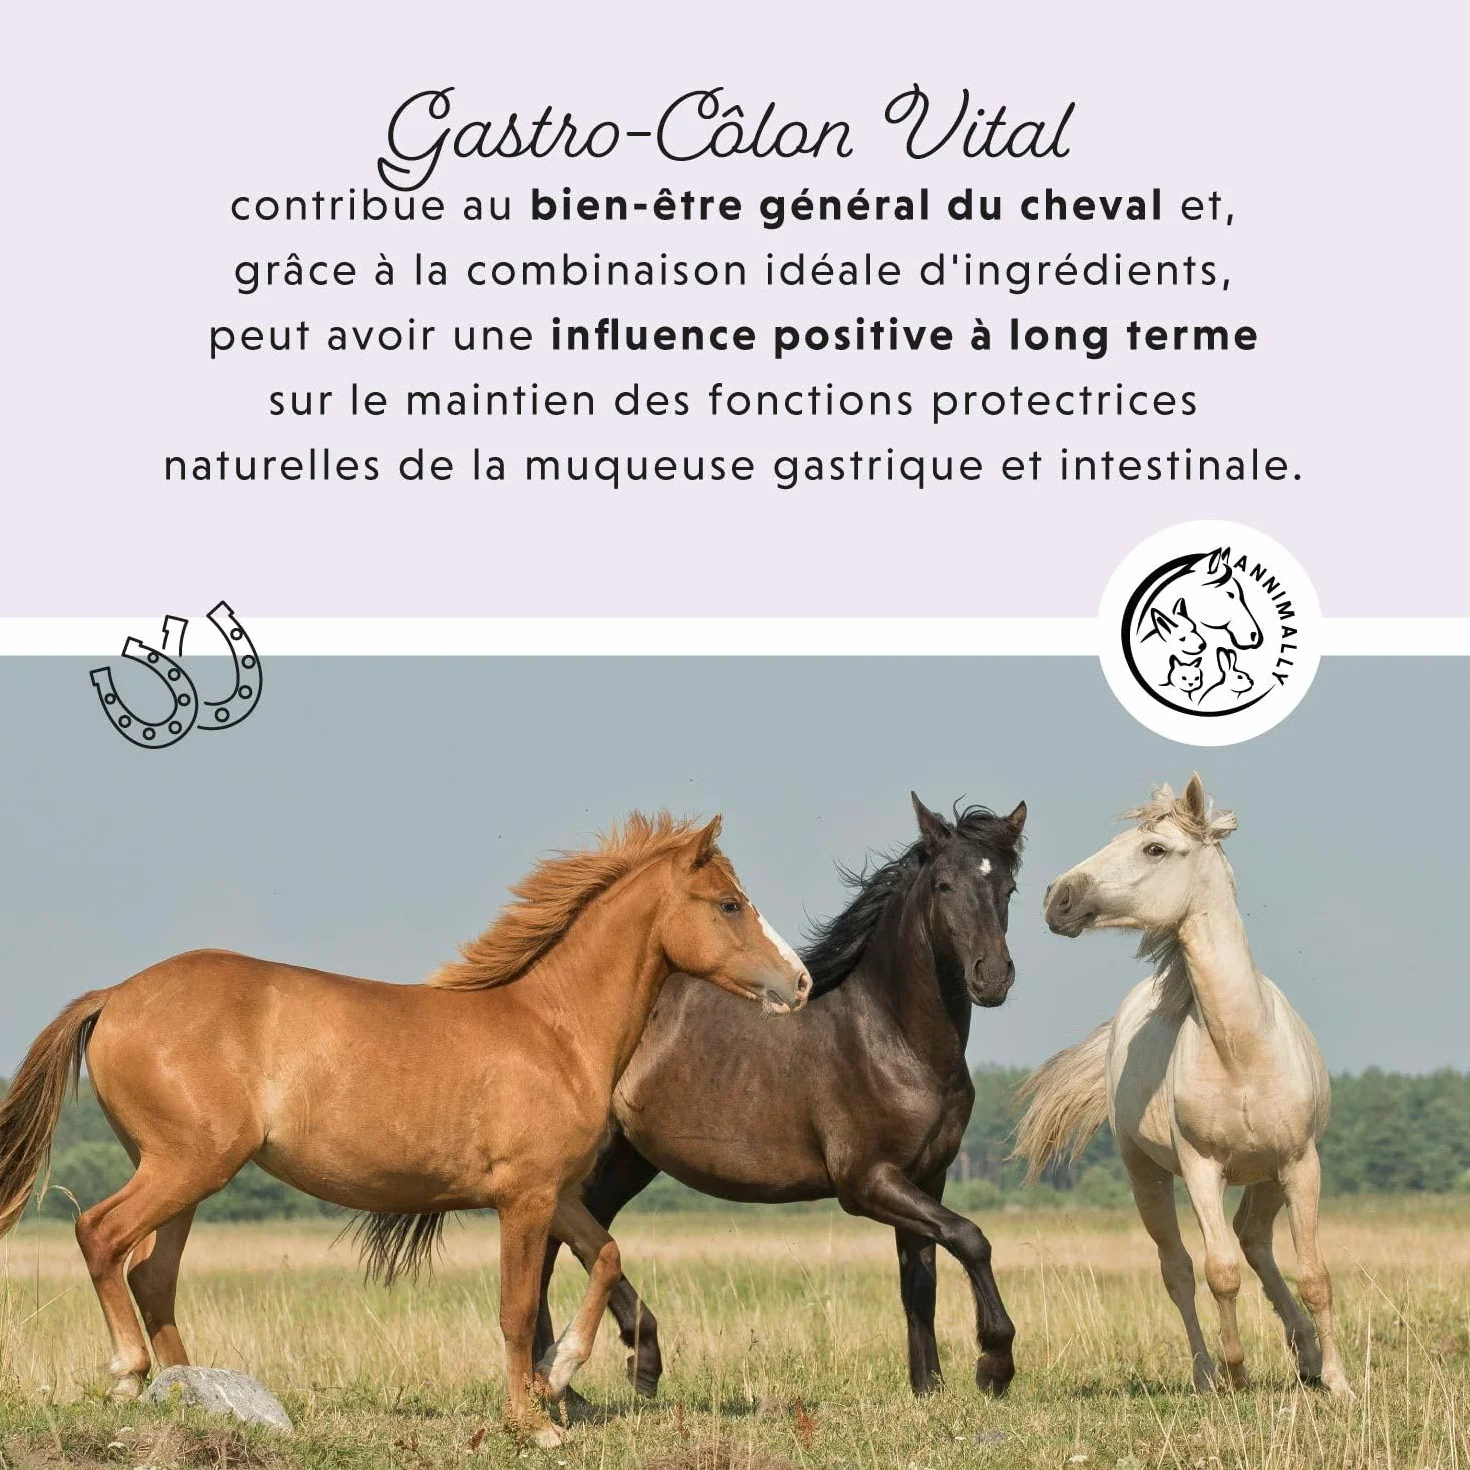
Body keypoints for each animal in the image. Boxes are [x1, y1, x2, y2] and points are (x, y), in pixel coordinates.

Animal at [0, 812, 811, 1446]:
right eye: (729, 904)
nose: (799, 982)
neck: (553, 1029)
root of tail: (116, 995)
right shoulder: (522, 1198)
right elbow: (517, 1308)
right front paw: (533, 1422)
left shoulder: (553, 1193)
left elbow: (606, 1257)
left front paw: (559, 1376)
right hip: (186, 1165)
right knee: (102, 1235)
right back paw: (129, 1376)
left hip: (186, 1175)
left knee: (151, 1272)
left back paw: (190, 1394)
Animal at [535, 794, 1028, 1399]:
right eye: (943, 885)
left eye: (1008, 887)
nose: (992, 977)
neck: (892, 1037)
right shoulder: (867, 1182)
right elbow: (970, 1237)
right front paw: (994, 1364)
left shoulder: (925, 1178)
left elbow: (920, 1283)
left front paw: (928, 1388)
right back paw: (582, 1374)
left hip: (627, 1161)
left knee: (578, 1239)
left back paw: (601, 1372)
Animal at [1013, 776, 1351, 1398]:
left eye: (1155, 849)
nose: (1057, 897)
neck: (1242, 1050)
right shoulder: (1200, 1169)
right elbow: (1220, 1272)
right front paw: (1237, 1372)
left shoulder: (1300, 1163)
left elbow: (1315, 1274)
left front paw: (1339, 1383)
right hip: (1146, 1174)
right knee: (1180, 1269)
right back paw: (1206, 1373)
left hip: (1268, 1175)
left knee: (1254, 1239)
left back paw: (1307, 1355)